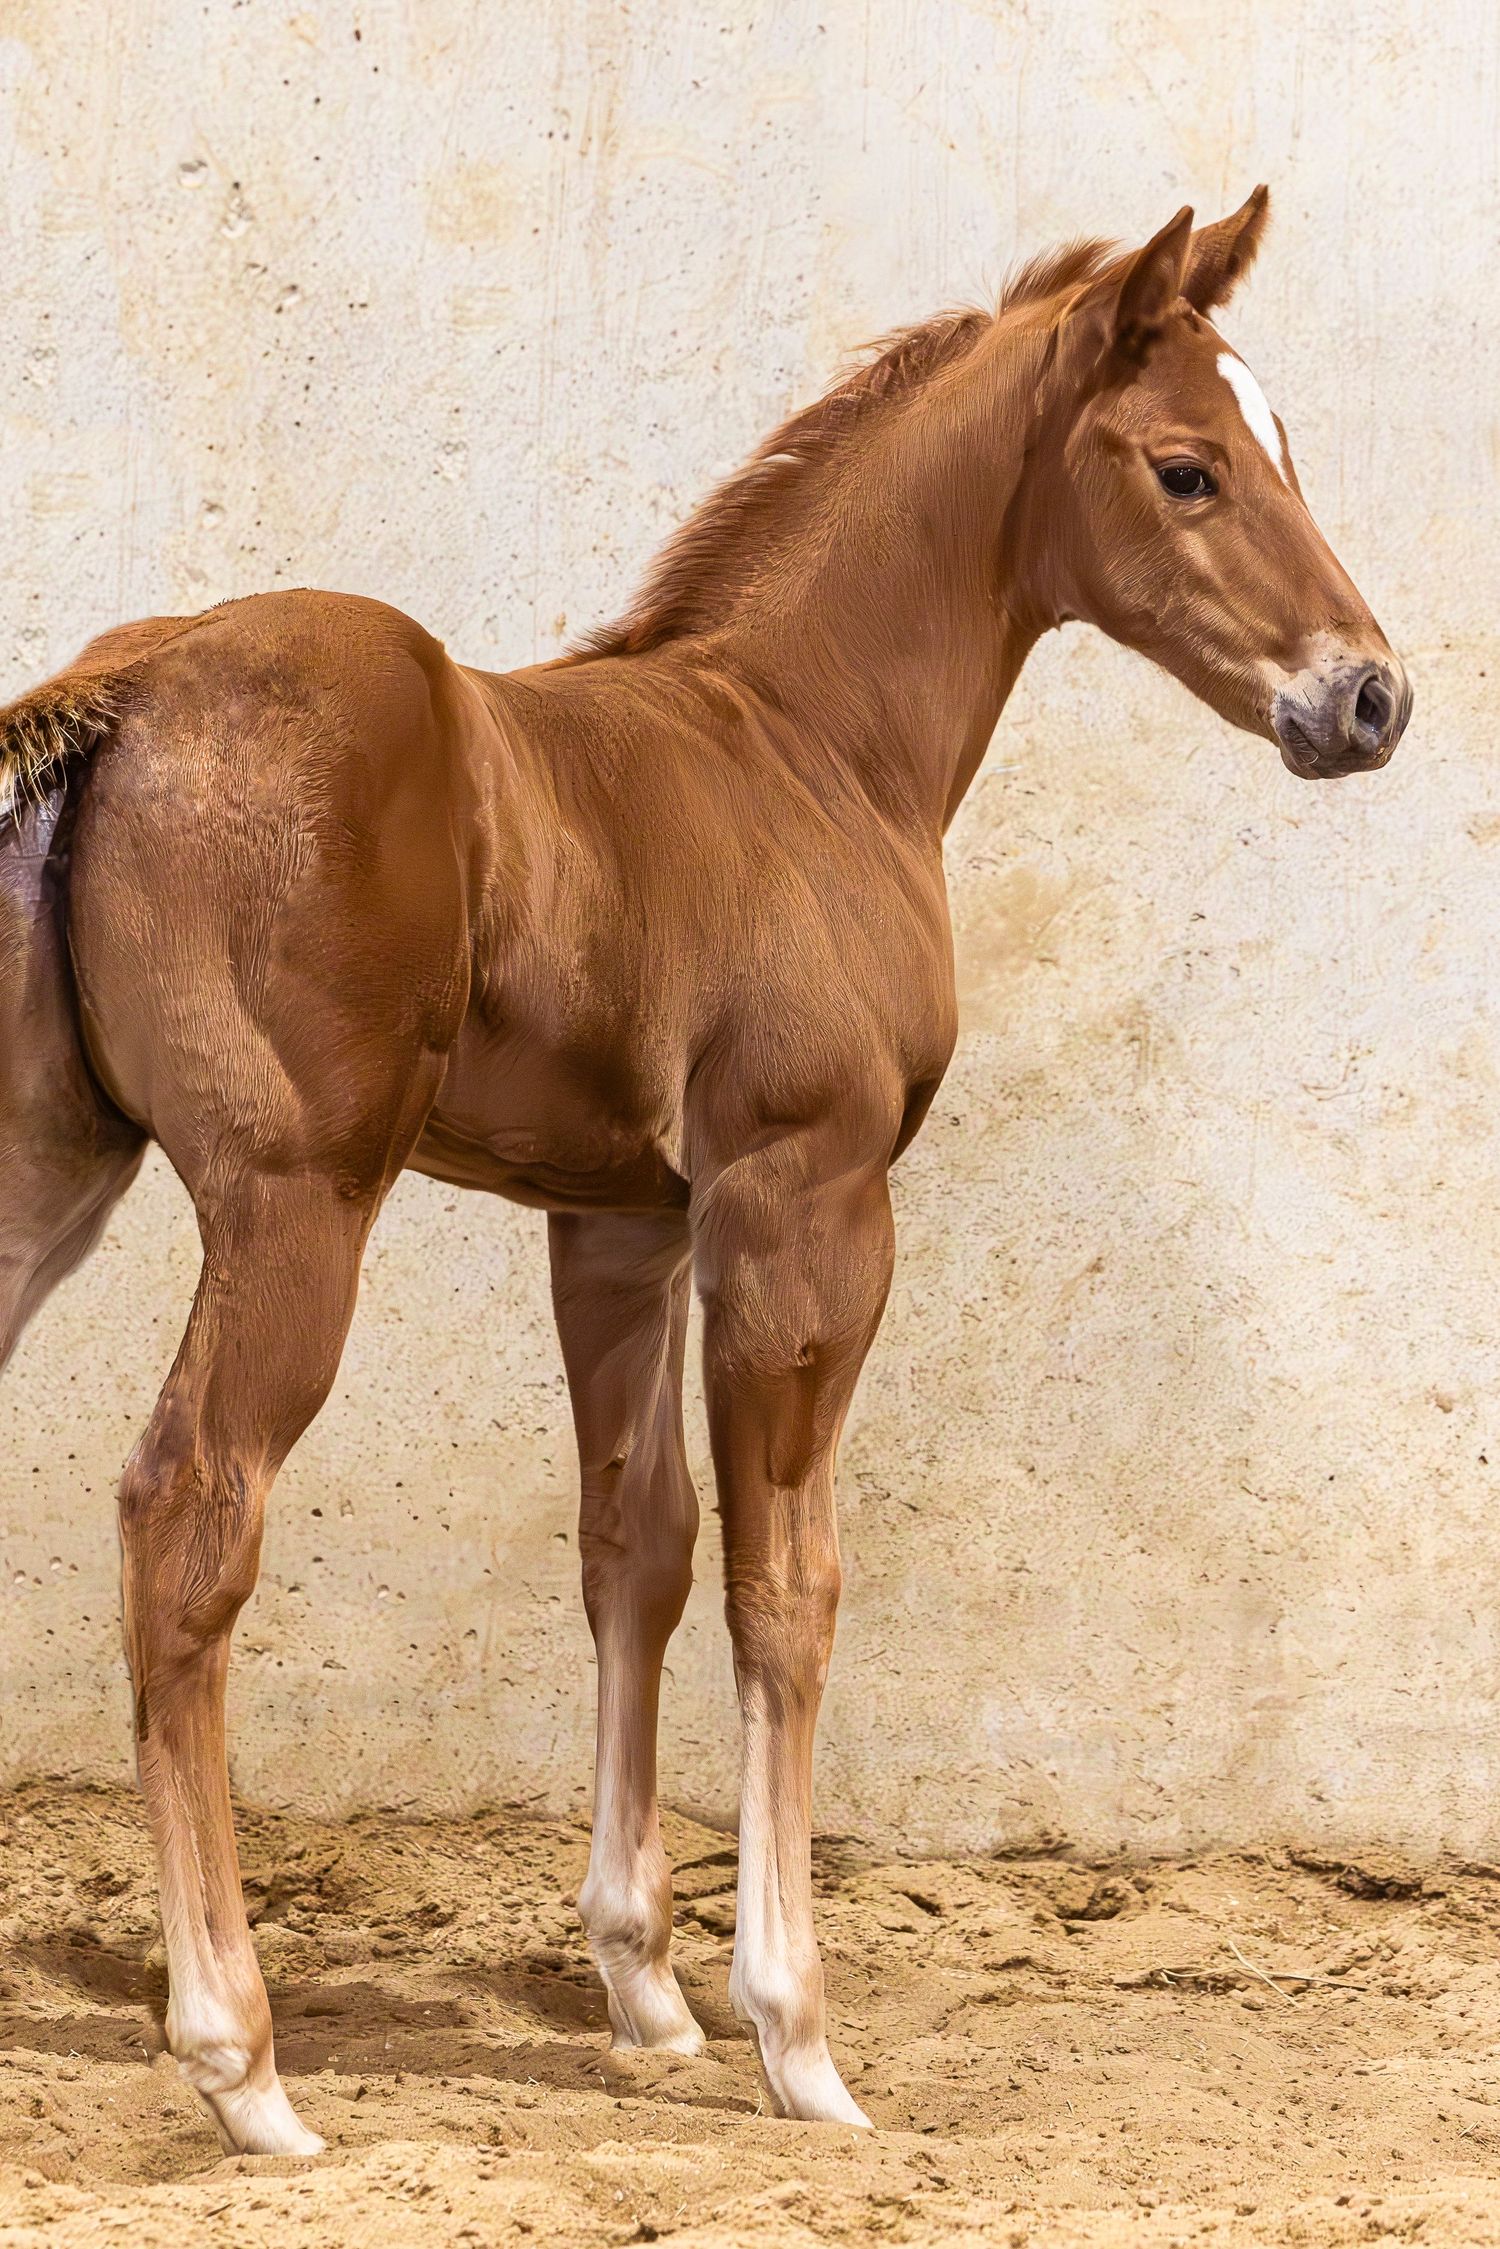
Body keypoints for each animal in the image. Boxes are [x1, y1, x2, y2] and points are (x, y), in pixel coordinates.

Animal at [0, 189, 1410, 2156]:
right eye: (1188, 468)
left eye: (1288, 446)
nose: (1369, 697)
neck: (808, 746)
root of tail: (120, 687)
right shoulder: (803, 1207)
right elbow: (786, 1583)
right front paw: (794, 2031)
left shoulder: (620, 1226)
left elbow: (638, 1546)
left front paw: (645, 1989)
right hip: (293, 1204)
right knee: (189, 1513)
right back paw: (244, 2060)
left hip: (46, 1165)